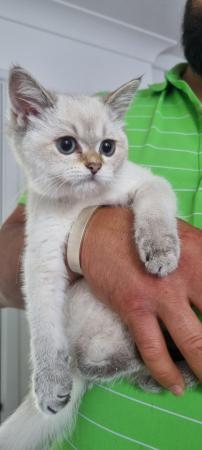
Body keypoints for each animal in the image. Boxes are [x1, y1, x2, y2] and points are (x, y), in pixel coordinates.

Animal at [0, 67, 195, 450]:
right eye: (66, 145)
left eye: (108, 147)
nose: (94, 166)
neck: (82, 203)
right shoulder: (41, 261)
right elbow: (44, 333)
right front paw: (49, 387)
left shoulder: (149, 183)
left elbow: (154, 216)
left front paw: (160, 256)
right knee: (94, 364)